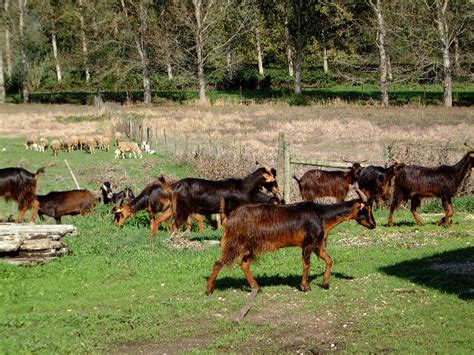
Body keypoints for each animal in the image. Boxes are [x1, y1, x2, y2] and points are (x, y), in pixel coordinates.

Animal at [206, 189, 376, 294]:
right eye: (366, 209)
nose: (374, 225)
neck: (322, 215)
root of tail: (229, 217)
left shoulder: (317, 245)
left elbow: (329, 260)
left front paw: (326, 283)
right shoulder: (308, 244)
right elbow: (307, 264)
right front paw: (306, 286)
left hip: (249, 246)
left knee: (244, 264)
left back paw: (257, 288)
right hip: (234, 244)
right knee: (218, 263)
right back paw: (209, 290)